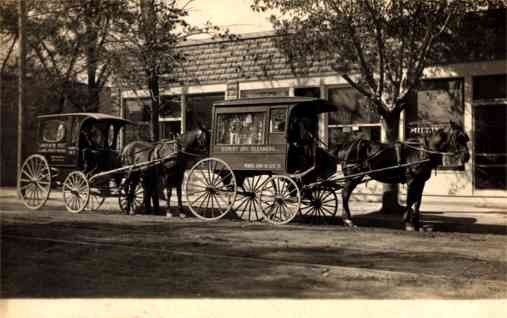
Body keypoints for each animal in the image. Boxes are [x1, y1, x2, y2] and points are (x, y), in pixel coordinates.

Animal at [338, 122, 472, 231]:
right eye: (458, 138)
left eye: (465, 138)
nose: (467, 156)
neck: (422, 152)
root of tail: (346, 146)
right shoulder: (411, 181)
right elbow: (410, 200)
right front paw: (408, 223)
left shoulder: (421, 182)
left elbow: (417, 202)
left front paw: (417, 224)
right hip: (353, 177)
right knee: (345, 194)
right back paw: (348, 220)